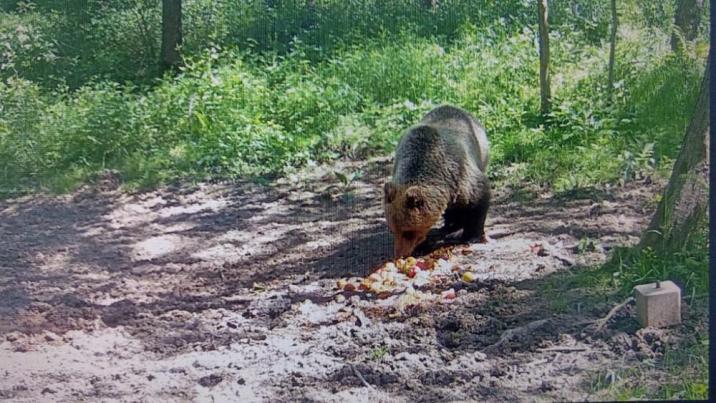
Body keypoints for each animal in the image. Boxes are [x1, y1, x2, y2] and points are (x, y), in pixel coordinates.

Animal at [384, 105, 490, 258]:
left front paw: (471, 236)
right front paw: (421, 247)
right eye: (393, 230)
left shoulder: (461, 175)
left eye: (408, 232)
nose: (400, 255)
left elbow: (478, 200)